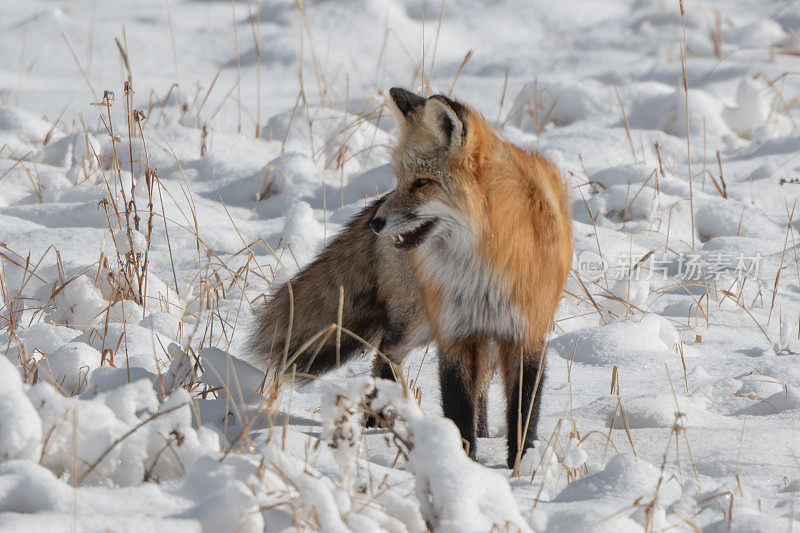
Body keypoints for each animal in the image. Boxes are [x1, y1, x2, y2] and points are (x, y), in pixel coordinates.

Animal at [253, 88, 572, 470]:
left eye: (422, 182)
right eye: (400, 178)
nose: (375, 223)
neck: (483, 267)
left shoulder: (526, 333)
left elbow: (523, 411)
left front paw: (521, 466)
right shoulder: (452, 333)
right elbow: (457, 407)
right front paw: (460, 463)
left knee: (477, 382)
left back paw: (480, 431)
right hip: (419, 319)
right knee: (386, 353)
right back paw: (378, 422)